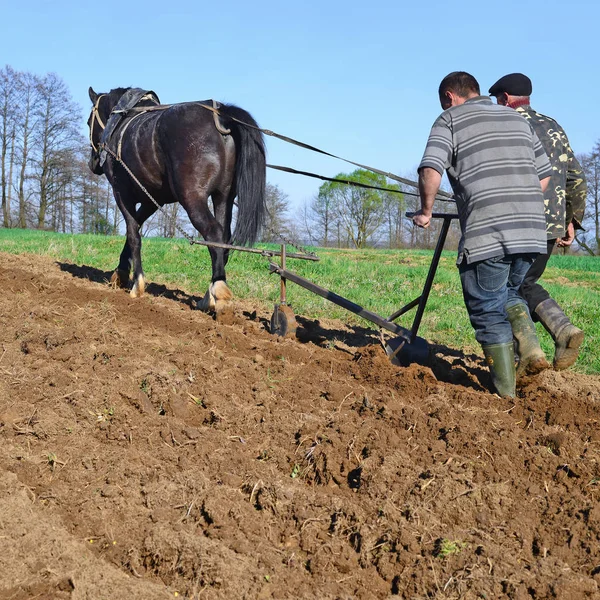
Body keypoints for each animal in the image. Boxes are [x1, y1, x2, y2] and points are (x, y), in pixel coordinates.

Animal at [88, 88, 266, 318]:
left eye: (88, 121)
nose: (93, 163)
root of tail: (221, 115)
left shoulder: (122, 194)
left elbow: (133, 233)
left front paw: (137, 284)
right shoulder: (153, 199)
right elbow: (135, 227)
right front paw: (120, 273)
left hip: (192, 197)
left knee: (213, 233)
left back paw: (219, 293)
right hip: (223, 196)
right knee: (223, 240)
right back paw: (208, 297)